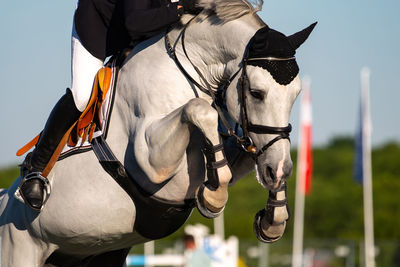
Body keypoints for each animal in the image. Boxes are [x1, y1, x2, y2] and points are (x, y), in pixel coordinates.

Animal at [0, 1, 316, 266]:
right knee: (75, 100)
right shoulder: (150, 161)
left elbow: (252, 151)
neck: (187, 69)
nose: (280, 169)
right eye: (256, 92)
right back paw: (33, 188)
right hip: (20, 249)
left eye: (296, 94)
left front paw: (274, 217)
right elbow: (201, 110)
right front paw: (214, 196)